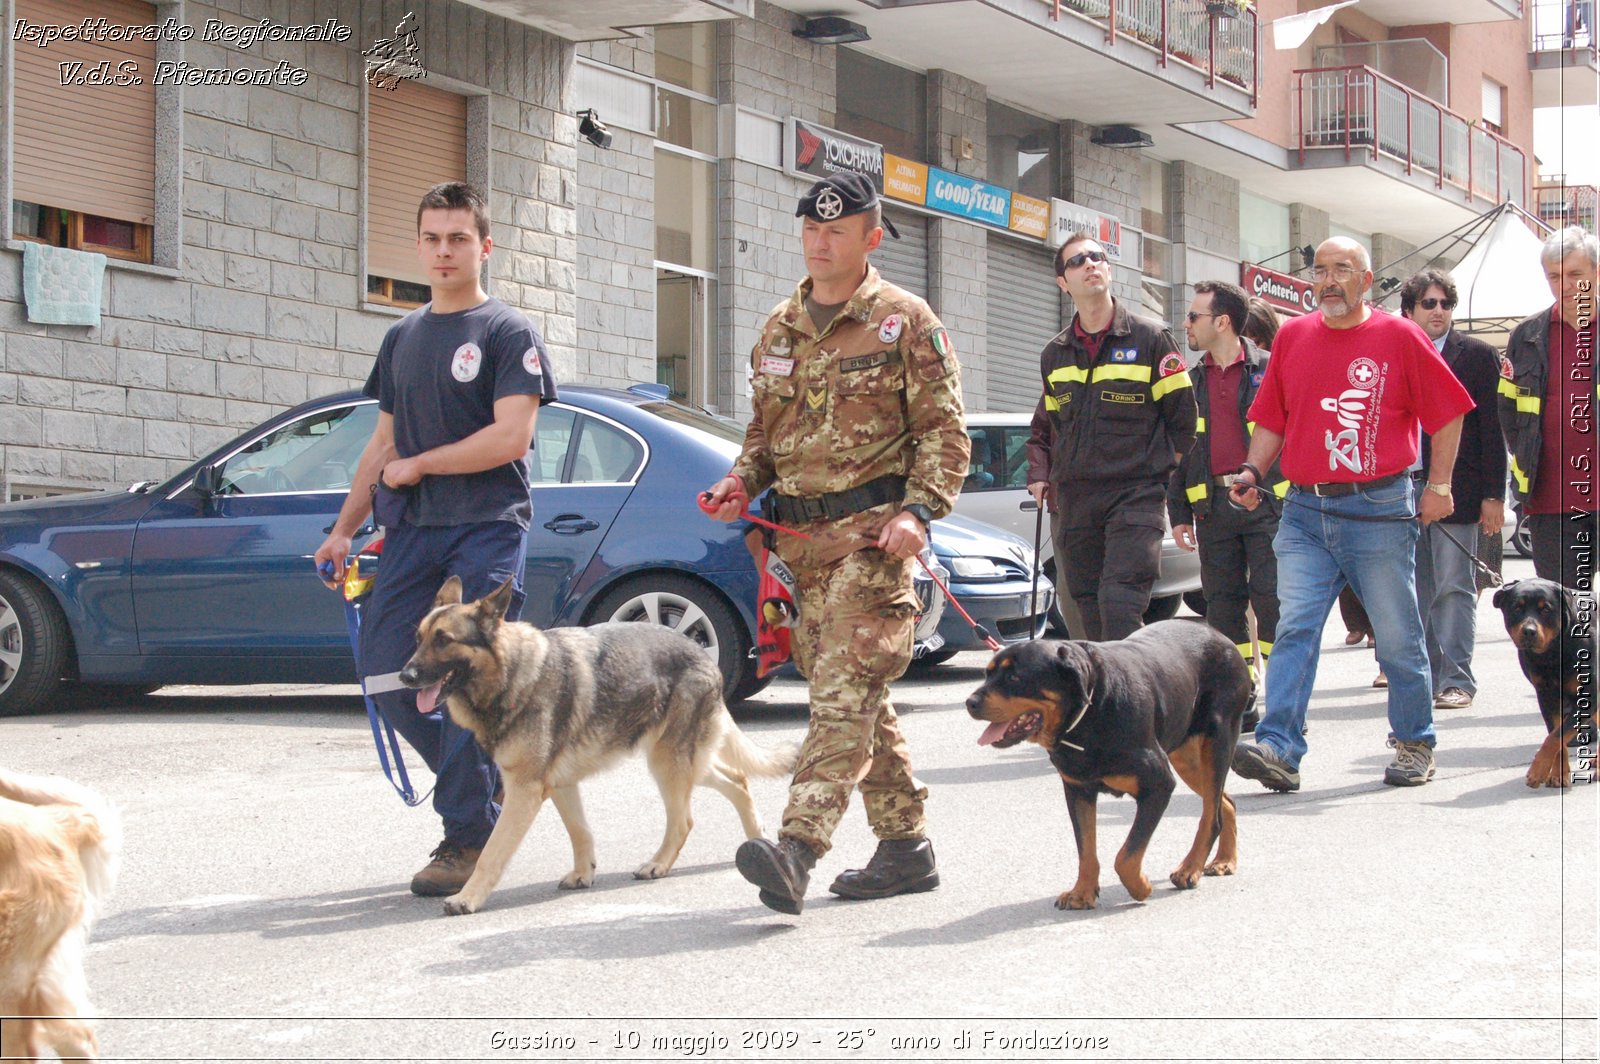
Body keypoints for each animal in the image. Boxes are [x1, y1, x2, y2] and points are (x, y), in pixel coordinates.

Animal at [400, 572, 800, 915]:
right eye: (418, 638)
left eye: (444, 640)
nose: (405, 676)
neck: (511, 672)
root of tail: (702, 652)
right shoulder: (559, 784)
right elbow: (580, 831)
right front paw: (584, 873)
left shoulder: (524, 790)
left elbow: (492, 852)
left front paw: (468, 897)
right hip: (680, 760)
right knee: (736, 779)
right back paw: (758, 839)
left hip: (668, 762)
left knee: (685, 819)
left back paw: (659, 863)